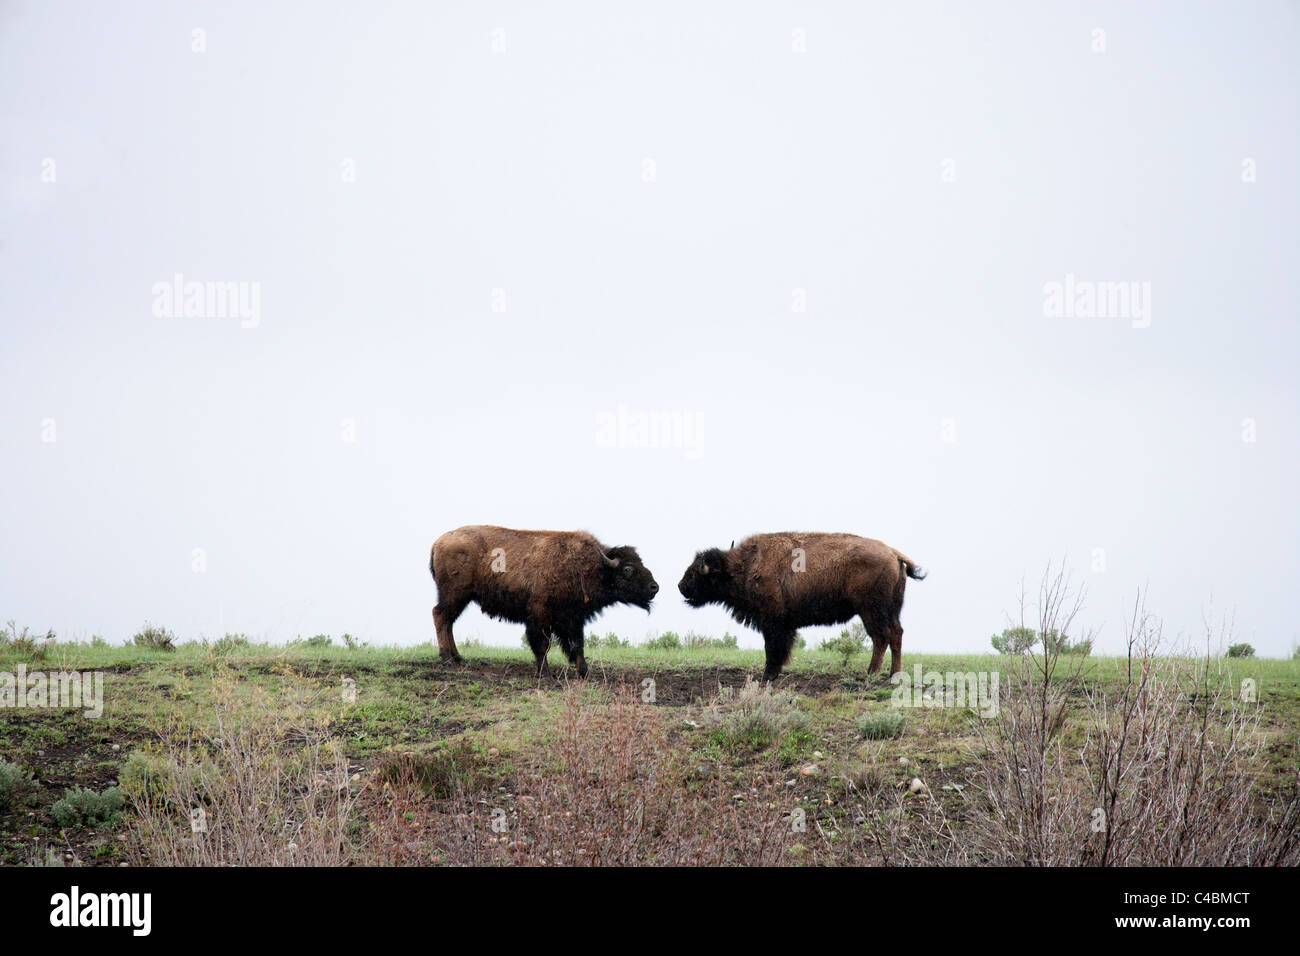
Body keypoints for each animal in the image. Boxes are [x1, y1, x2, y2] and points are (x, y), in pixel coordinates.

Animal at [431, 528, 660, 676]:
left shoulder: (573, 618)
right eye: (628, 569)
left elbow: (578, 645)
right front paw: (545, 672)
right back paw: (447, 658)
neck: (590, 566)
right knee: (440, 616)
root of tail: (437, 543)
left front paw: (584, 672)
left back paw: (458, 657)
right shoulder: (540, 616)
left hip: (460, 599)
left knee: (448, 621)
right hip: (455, 595)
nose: (654, 587)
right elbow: (542, 644)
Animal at [681, 530, 925, 681]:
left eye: (696, 573)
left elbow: (773, 649)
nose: (680, 586)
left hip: (871, 610)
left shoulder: (774, 622)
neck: (743, 566)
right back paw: (893, 674)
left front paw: (768, 675)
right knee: (896, 634)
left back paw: (871, 673)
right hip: (892, 610)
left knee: (881, 637)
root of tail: (893, 553)